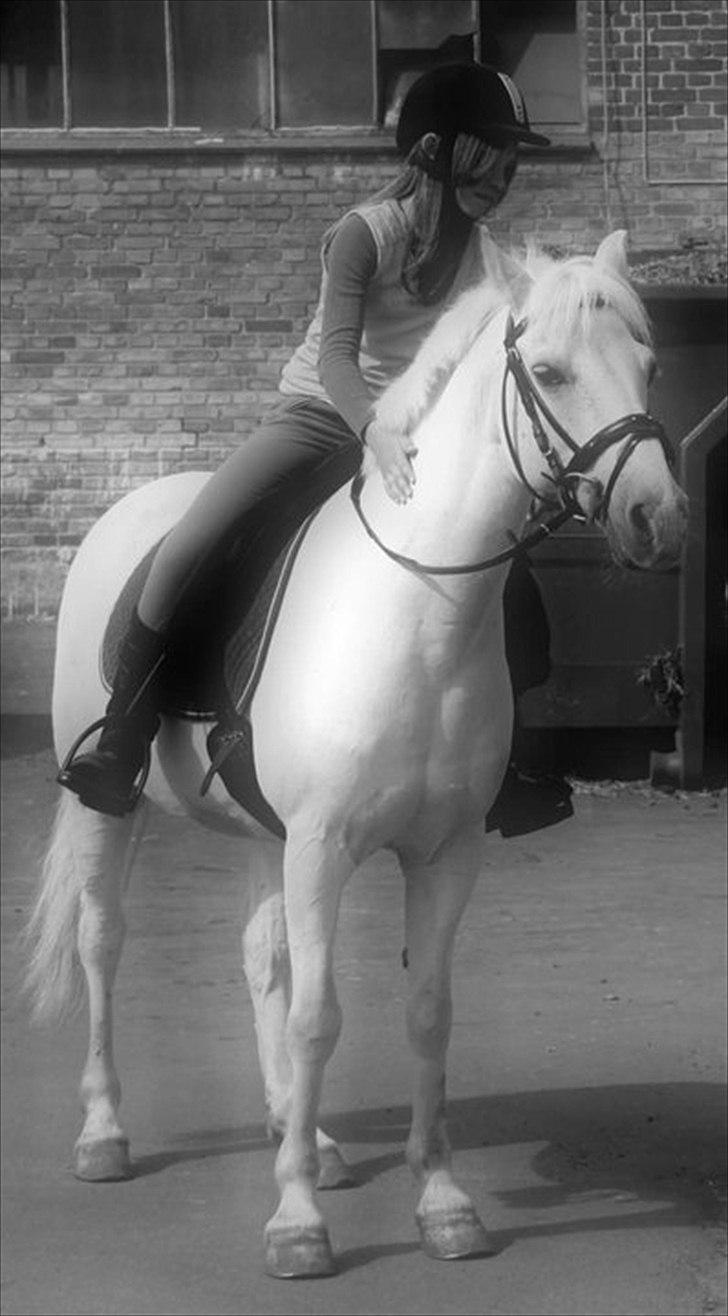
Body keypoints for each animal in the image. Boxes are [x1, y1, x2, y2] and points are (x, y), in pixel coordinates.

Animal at [24, 230, 687, 1279]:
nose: (659, 521)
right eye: (547, 372)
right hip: (110, 808)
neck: (420, 611)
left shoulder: (443, 853)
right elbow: (318, 1016)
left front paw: (443, 1204)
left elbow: (425, 1013)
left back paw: (304, 1135)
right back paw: (105, 1134)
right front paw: (295, 1222)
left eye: (651, 366)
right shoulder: (323, 846)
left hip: (265, 833)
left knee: (260, 958)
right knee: (104, 941)